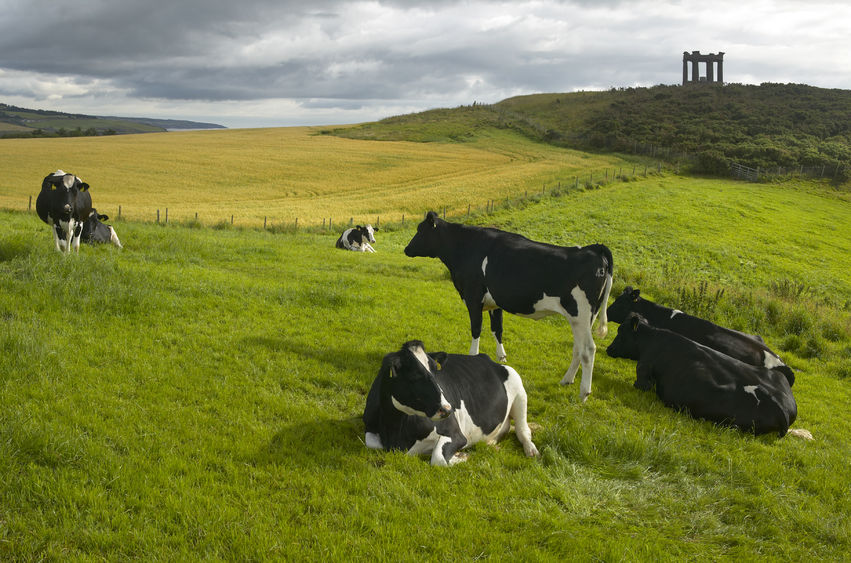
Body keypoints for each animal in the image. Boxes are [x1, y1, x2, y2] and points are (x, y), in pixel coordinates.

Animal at [362, 340, 540, 468]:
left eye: (436, 370)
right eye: (414, 376)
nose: (447, 409)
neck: (396, 431)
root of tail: (484, 357)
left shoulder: (456, 433)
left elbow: (438, 458)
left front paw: (461, 456)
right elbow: (371, 442)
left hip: (519, 390)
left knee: (523, 431)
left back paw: (531, 450)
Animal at [406, 210, 612, 400]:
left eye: (420, 230)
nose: (406, 250)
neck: (464, 247)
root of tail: (594, 248)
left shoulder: (473, 298)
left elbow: (476, 329)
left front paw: (473, 356)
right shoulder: (495, 303)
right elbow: (497, 329)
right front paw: (501, 358)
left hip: (580, 313)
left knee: (588, 349)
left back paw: (584, 393)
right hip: (585, 317)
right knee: (578, 347)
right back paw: (566, 380)